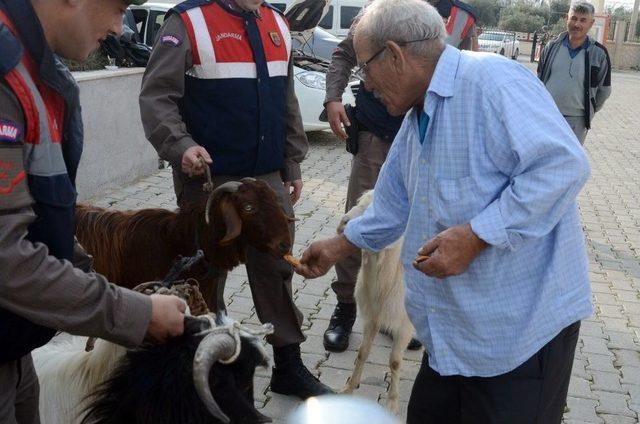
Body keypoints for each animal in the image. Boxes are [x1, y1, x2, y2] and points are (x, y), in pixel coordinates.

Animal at [338, 190, 418, 412]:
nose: (345, 223)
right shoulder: (371, 318)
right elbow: (362, 352)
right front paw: (349, 387)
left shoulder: (405, 326)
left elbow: (395, 362)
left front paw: (392, 402)